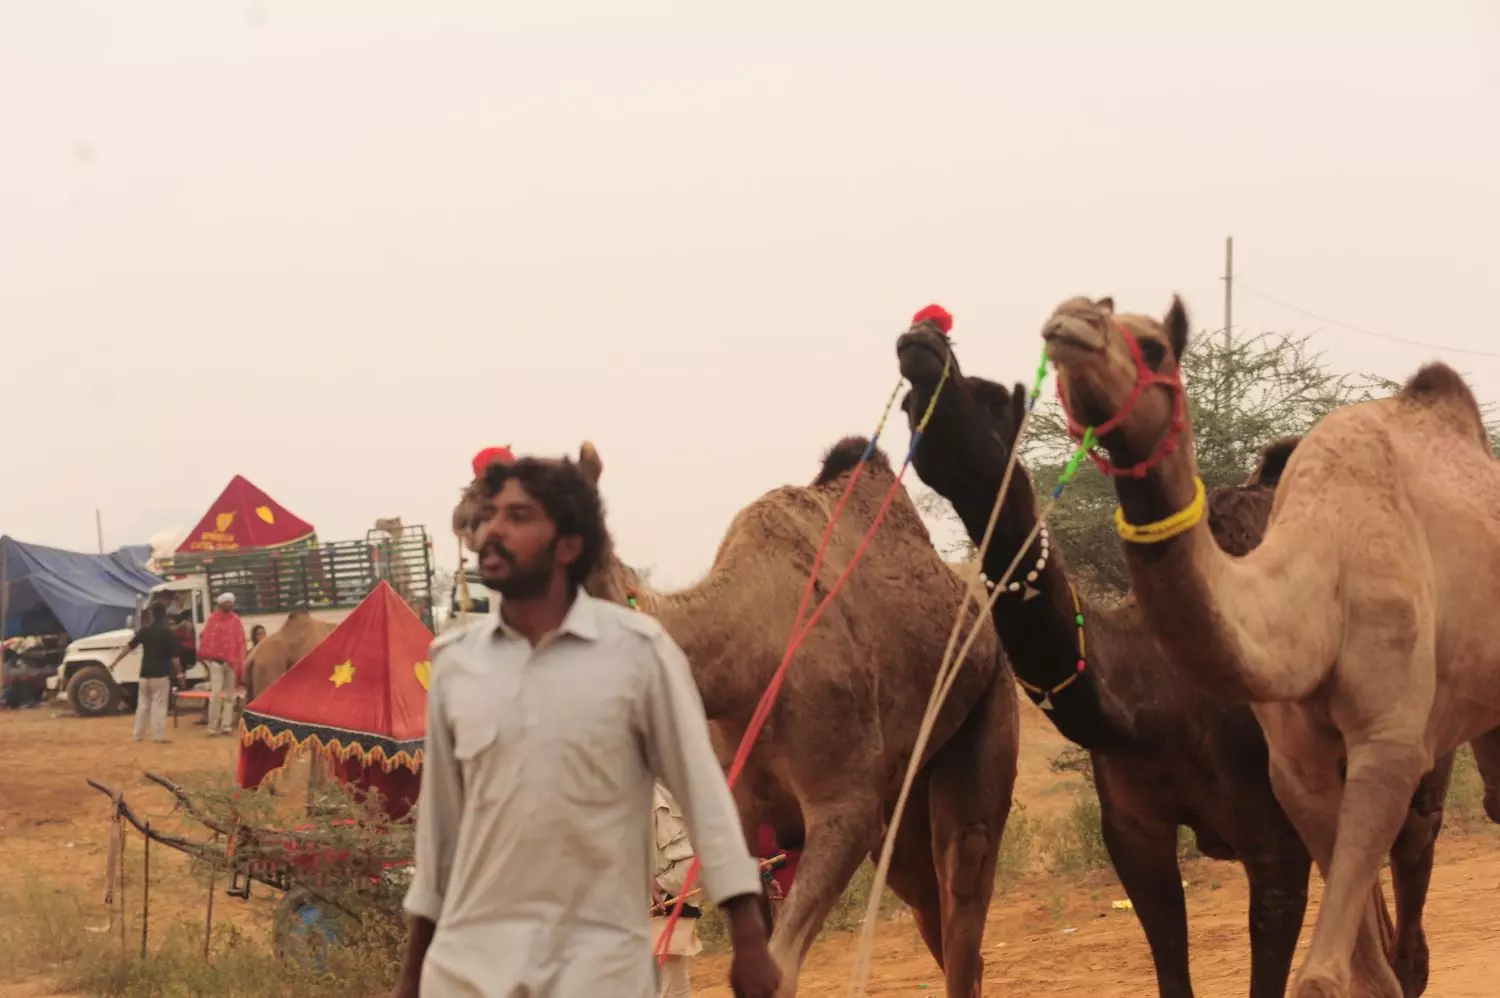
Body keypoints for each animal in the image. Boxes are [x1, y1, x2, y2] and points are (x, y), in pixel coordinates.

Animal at [896, 313, 1477, 996]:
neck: (1156, 696)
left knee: (1411, 903)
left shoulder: (1273, 841)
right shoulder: (1132, 833)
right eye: (908, 408)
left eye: (991, 400)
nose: (921, 341)